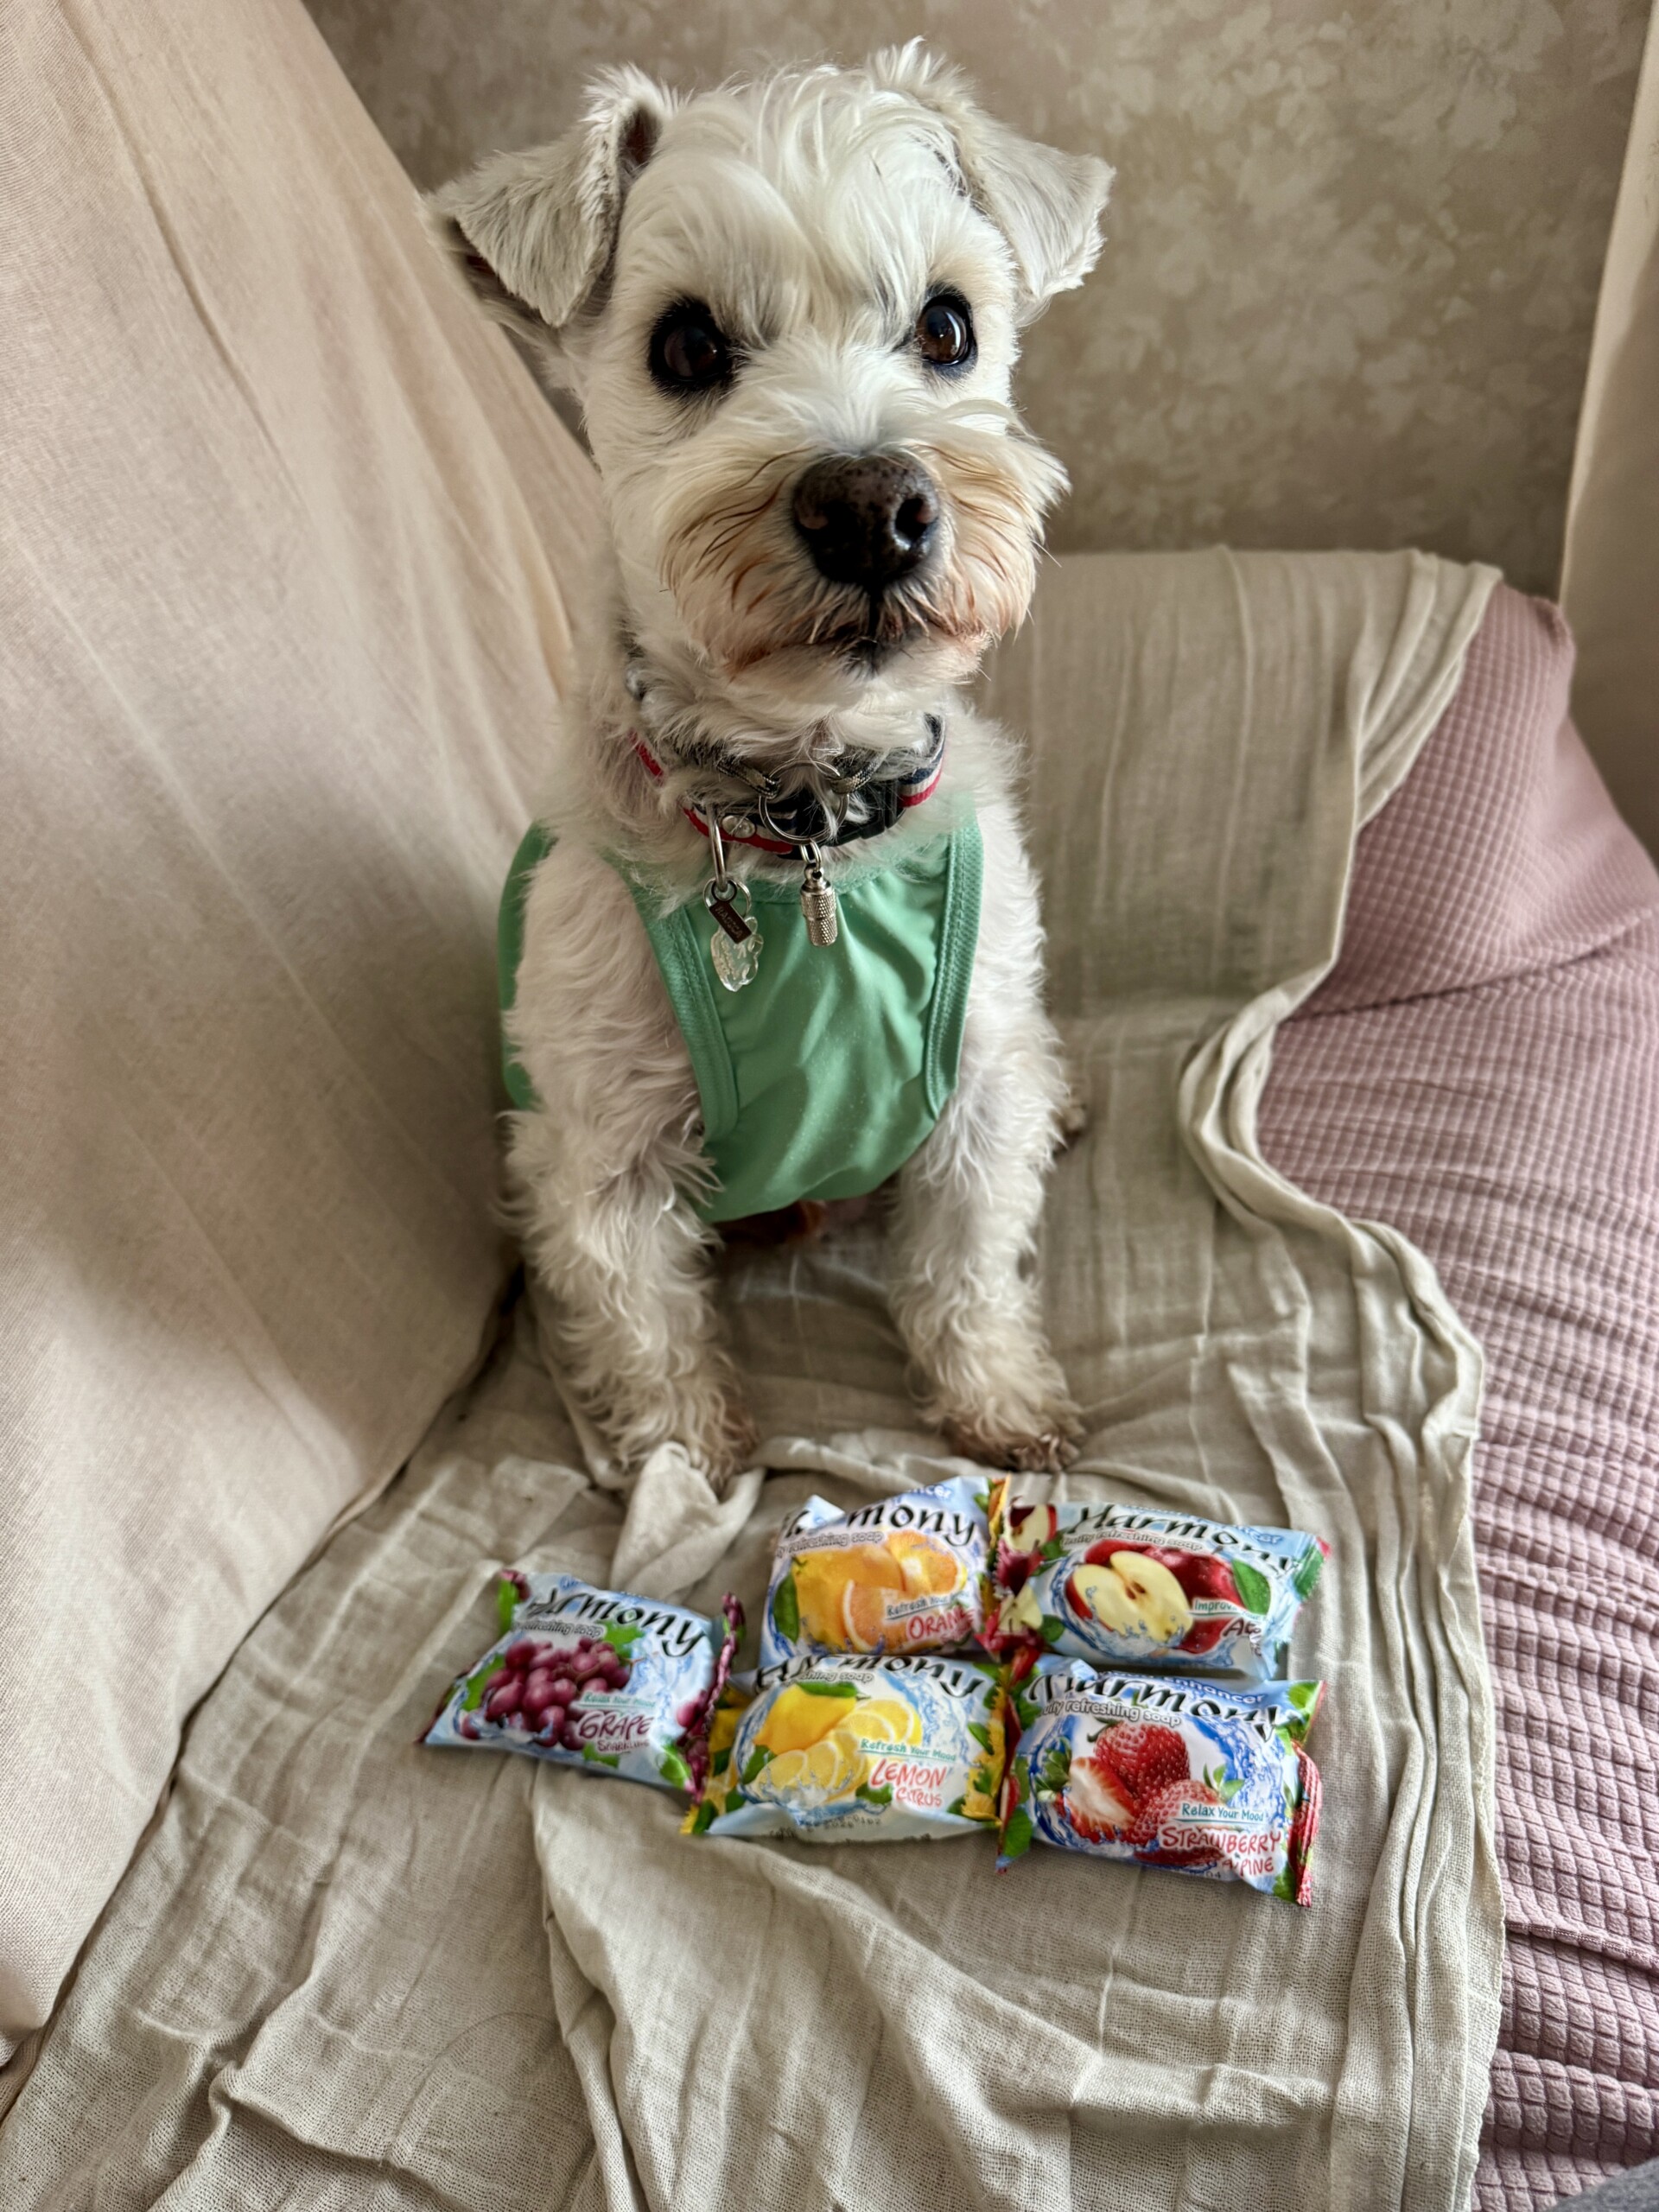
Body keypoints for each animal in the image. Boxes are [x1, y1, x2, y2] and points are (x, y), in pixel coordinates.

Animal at [431, 44, 1112, 1491]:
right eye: (686, 345)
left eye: (948, 326)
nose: (874, 508)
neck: (808, 817)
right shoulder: (600, 1143)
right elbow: (643, 1318)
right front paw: (681, 1463)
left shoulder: (974, 1081)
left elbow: (970, 1265)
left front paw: (998, 1398)